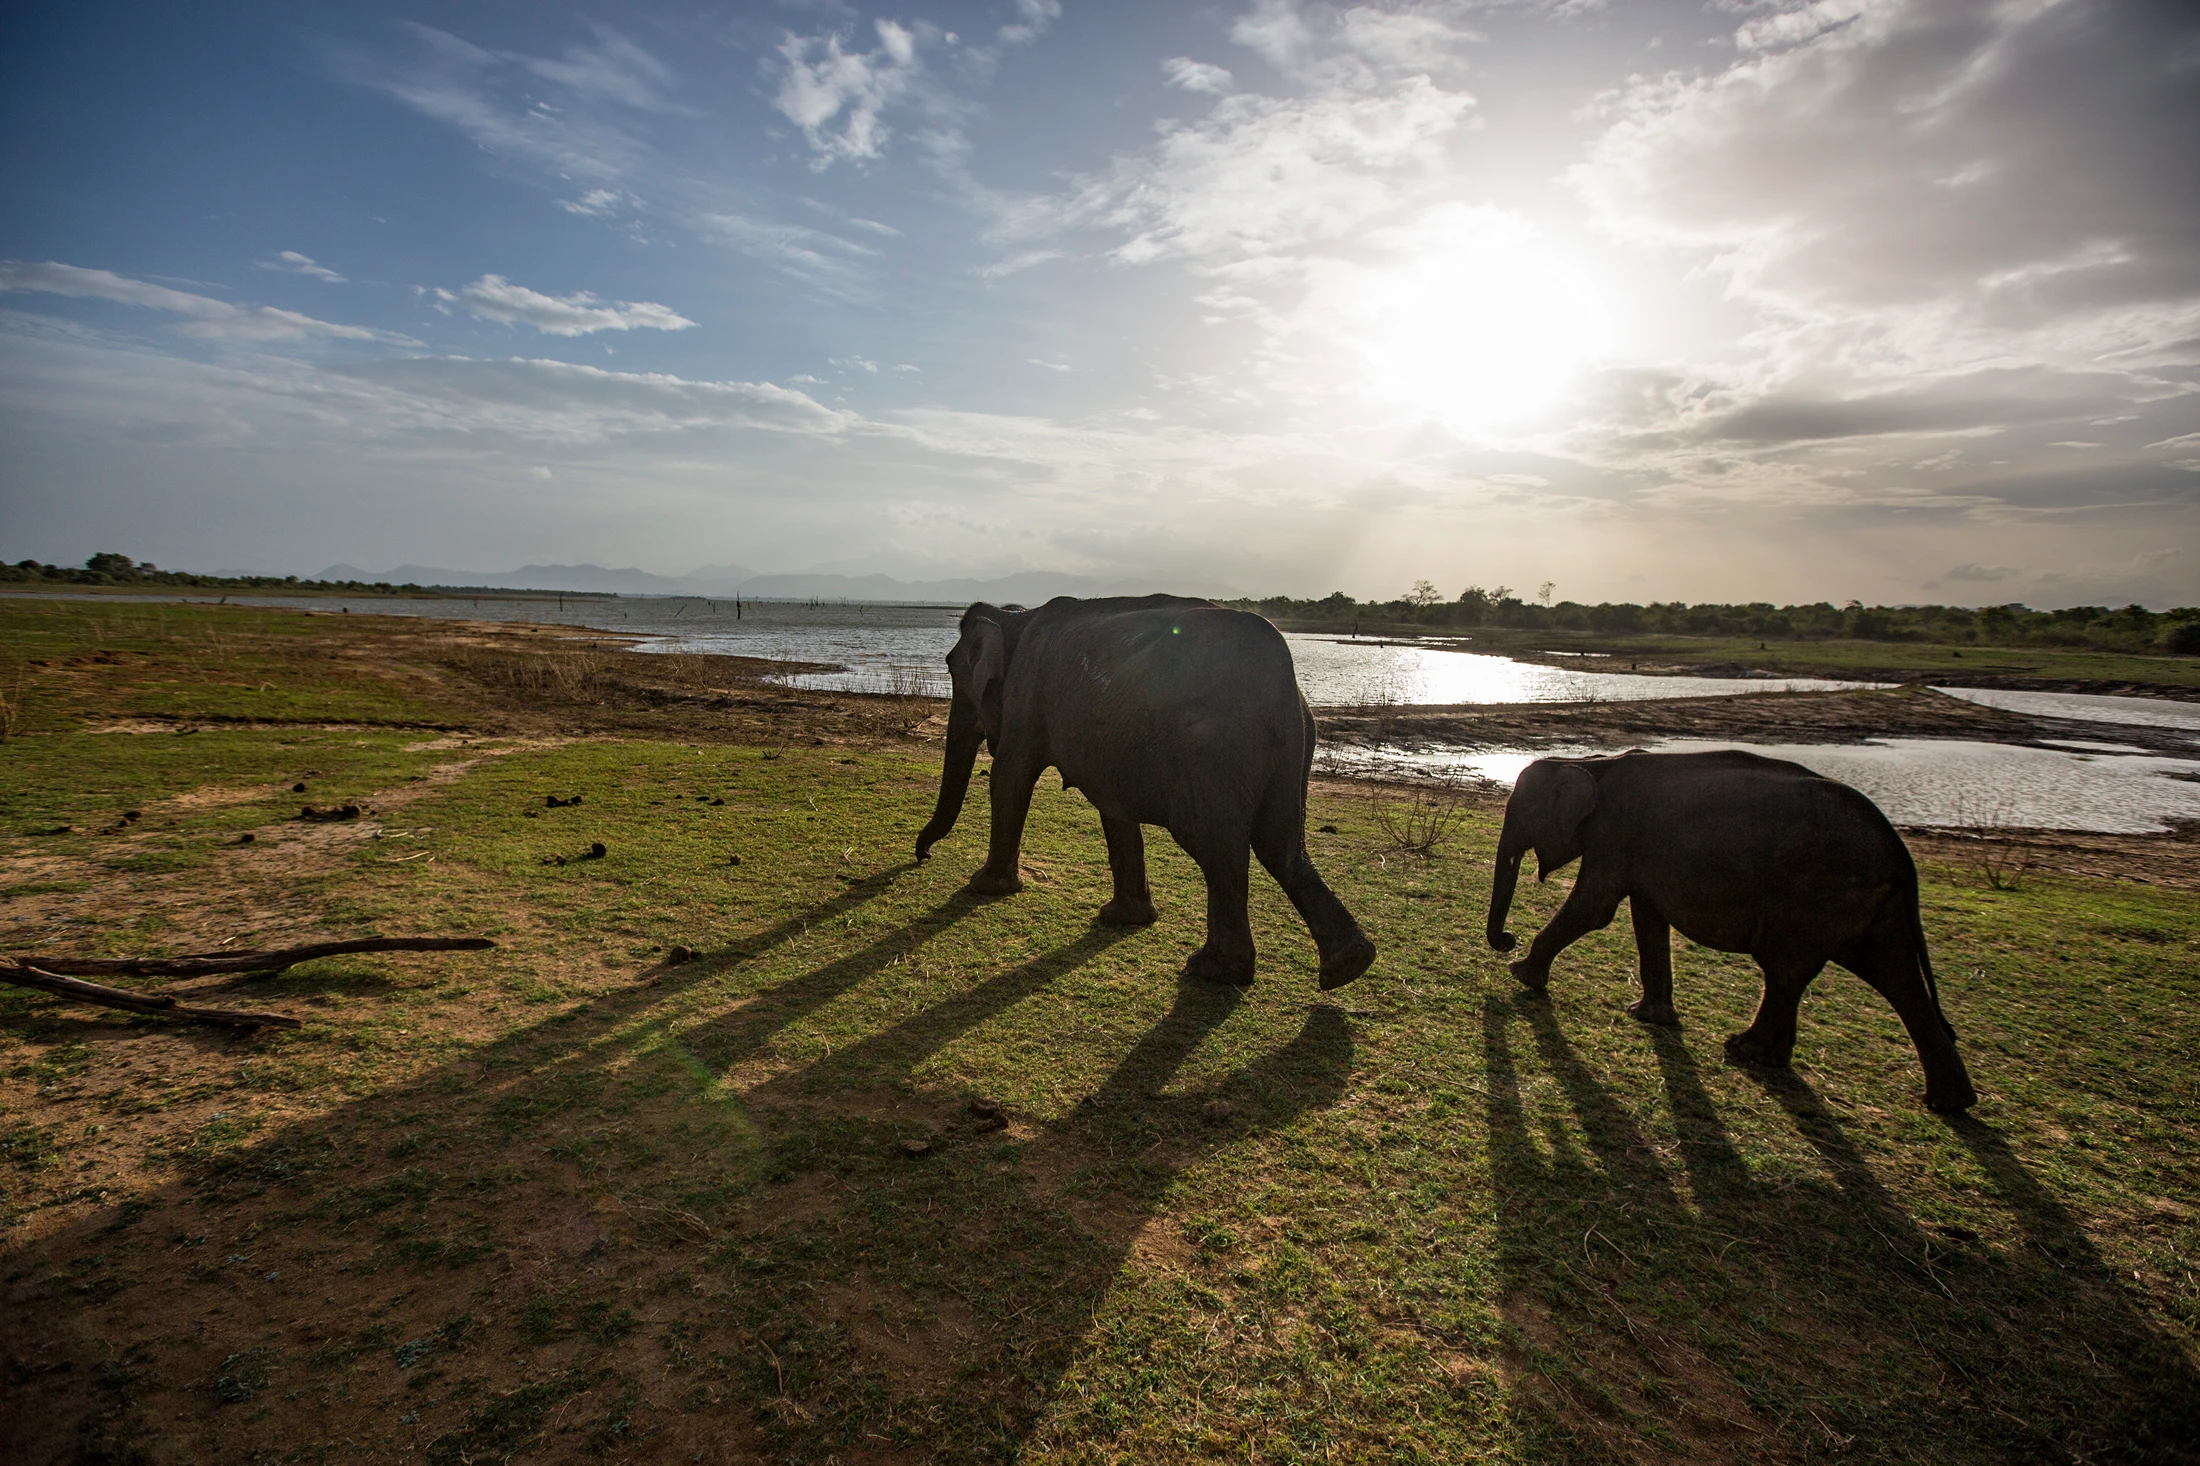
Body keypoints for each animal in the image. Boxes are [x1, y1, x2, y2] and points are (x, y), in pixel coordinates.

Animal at [914, 595, 1377, 991]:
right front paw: (1124, 919)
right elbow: (1113, 808)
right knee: (1282, 847)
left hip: (1211, 752)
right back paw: (1349, 966)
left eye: (952, 668)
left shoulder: (1025, 695)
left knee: (1219, 849)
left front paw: (983, 887)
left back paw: (1212, 970)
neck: (1016, 616)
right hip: (1296, 741)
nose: (923, 856)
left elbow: (1009, 777)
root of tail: (1282, 674)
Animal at [1485, 750, 1976, 1112]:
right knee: (1892, 976)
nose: (1507, 940)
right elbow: (1645, 918)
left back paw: (1745, 1050)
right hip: (1867, 903)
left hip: (1819, 893)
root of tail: (1899, 849)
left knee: (1790, 969)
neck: (1588, 763)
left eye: (1522, 815)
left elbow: (1595, 908)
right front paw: (1648, 1016)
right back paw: (1949, 1102)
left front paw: (1521, 974)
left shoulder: (1614, 835)